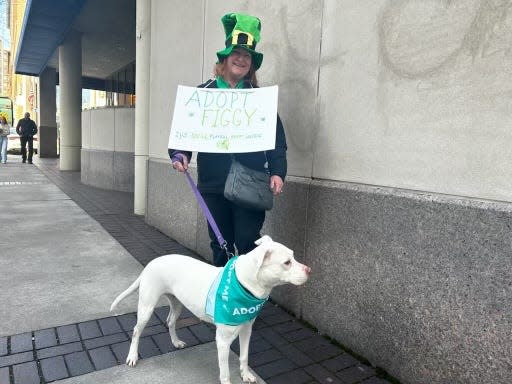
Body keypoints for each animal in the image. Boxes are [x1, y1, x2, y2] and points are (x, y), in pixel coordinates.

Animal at [111, 234, 312, 384]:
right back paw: (132, 356)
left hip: (177, 304)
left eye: (294, 257)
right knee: (136, 331)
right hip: (146, 307)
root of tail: (151, 263)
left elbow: (244, 356)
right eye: (287, 262)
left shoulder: (246, 329)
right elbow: (225, 372)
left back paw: (176, 342)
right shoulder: (222, 341)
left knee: (170, 321)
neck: (243, 285)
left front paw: (245, 375)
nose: (309, 270)